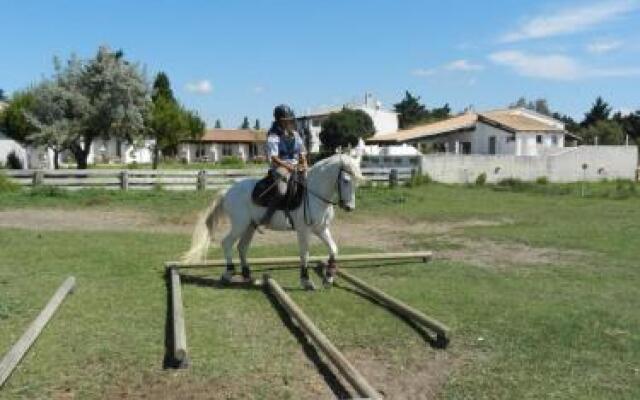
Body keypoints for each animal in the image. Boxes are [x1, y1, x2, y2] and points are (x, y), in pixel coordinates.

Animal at [184, 155, 364, 290]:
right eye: (346, 180)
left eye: (356, 181)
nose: (349, 207)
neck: (313, 194)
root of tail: (228, 191)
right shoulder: (304, 230)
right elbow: (304, 254)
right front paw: (306, 281)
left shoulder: (321, 229)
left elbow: (334, 249)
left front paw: (329, 278)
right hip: (240, 225)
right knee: (227, 243)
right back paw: (228, 273)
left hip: (250, 226)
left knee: (242, 247)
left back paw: (247, 275)